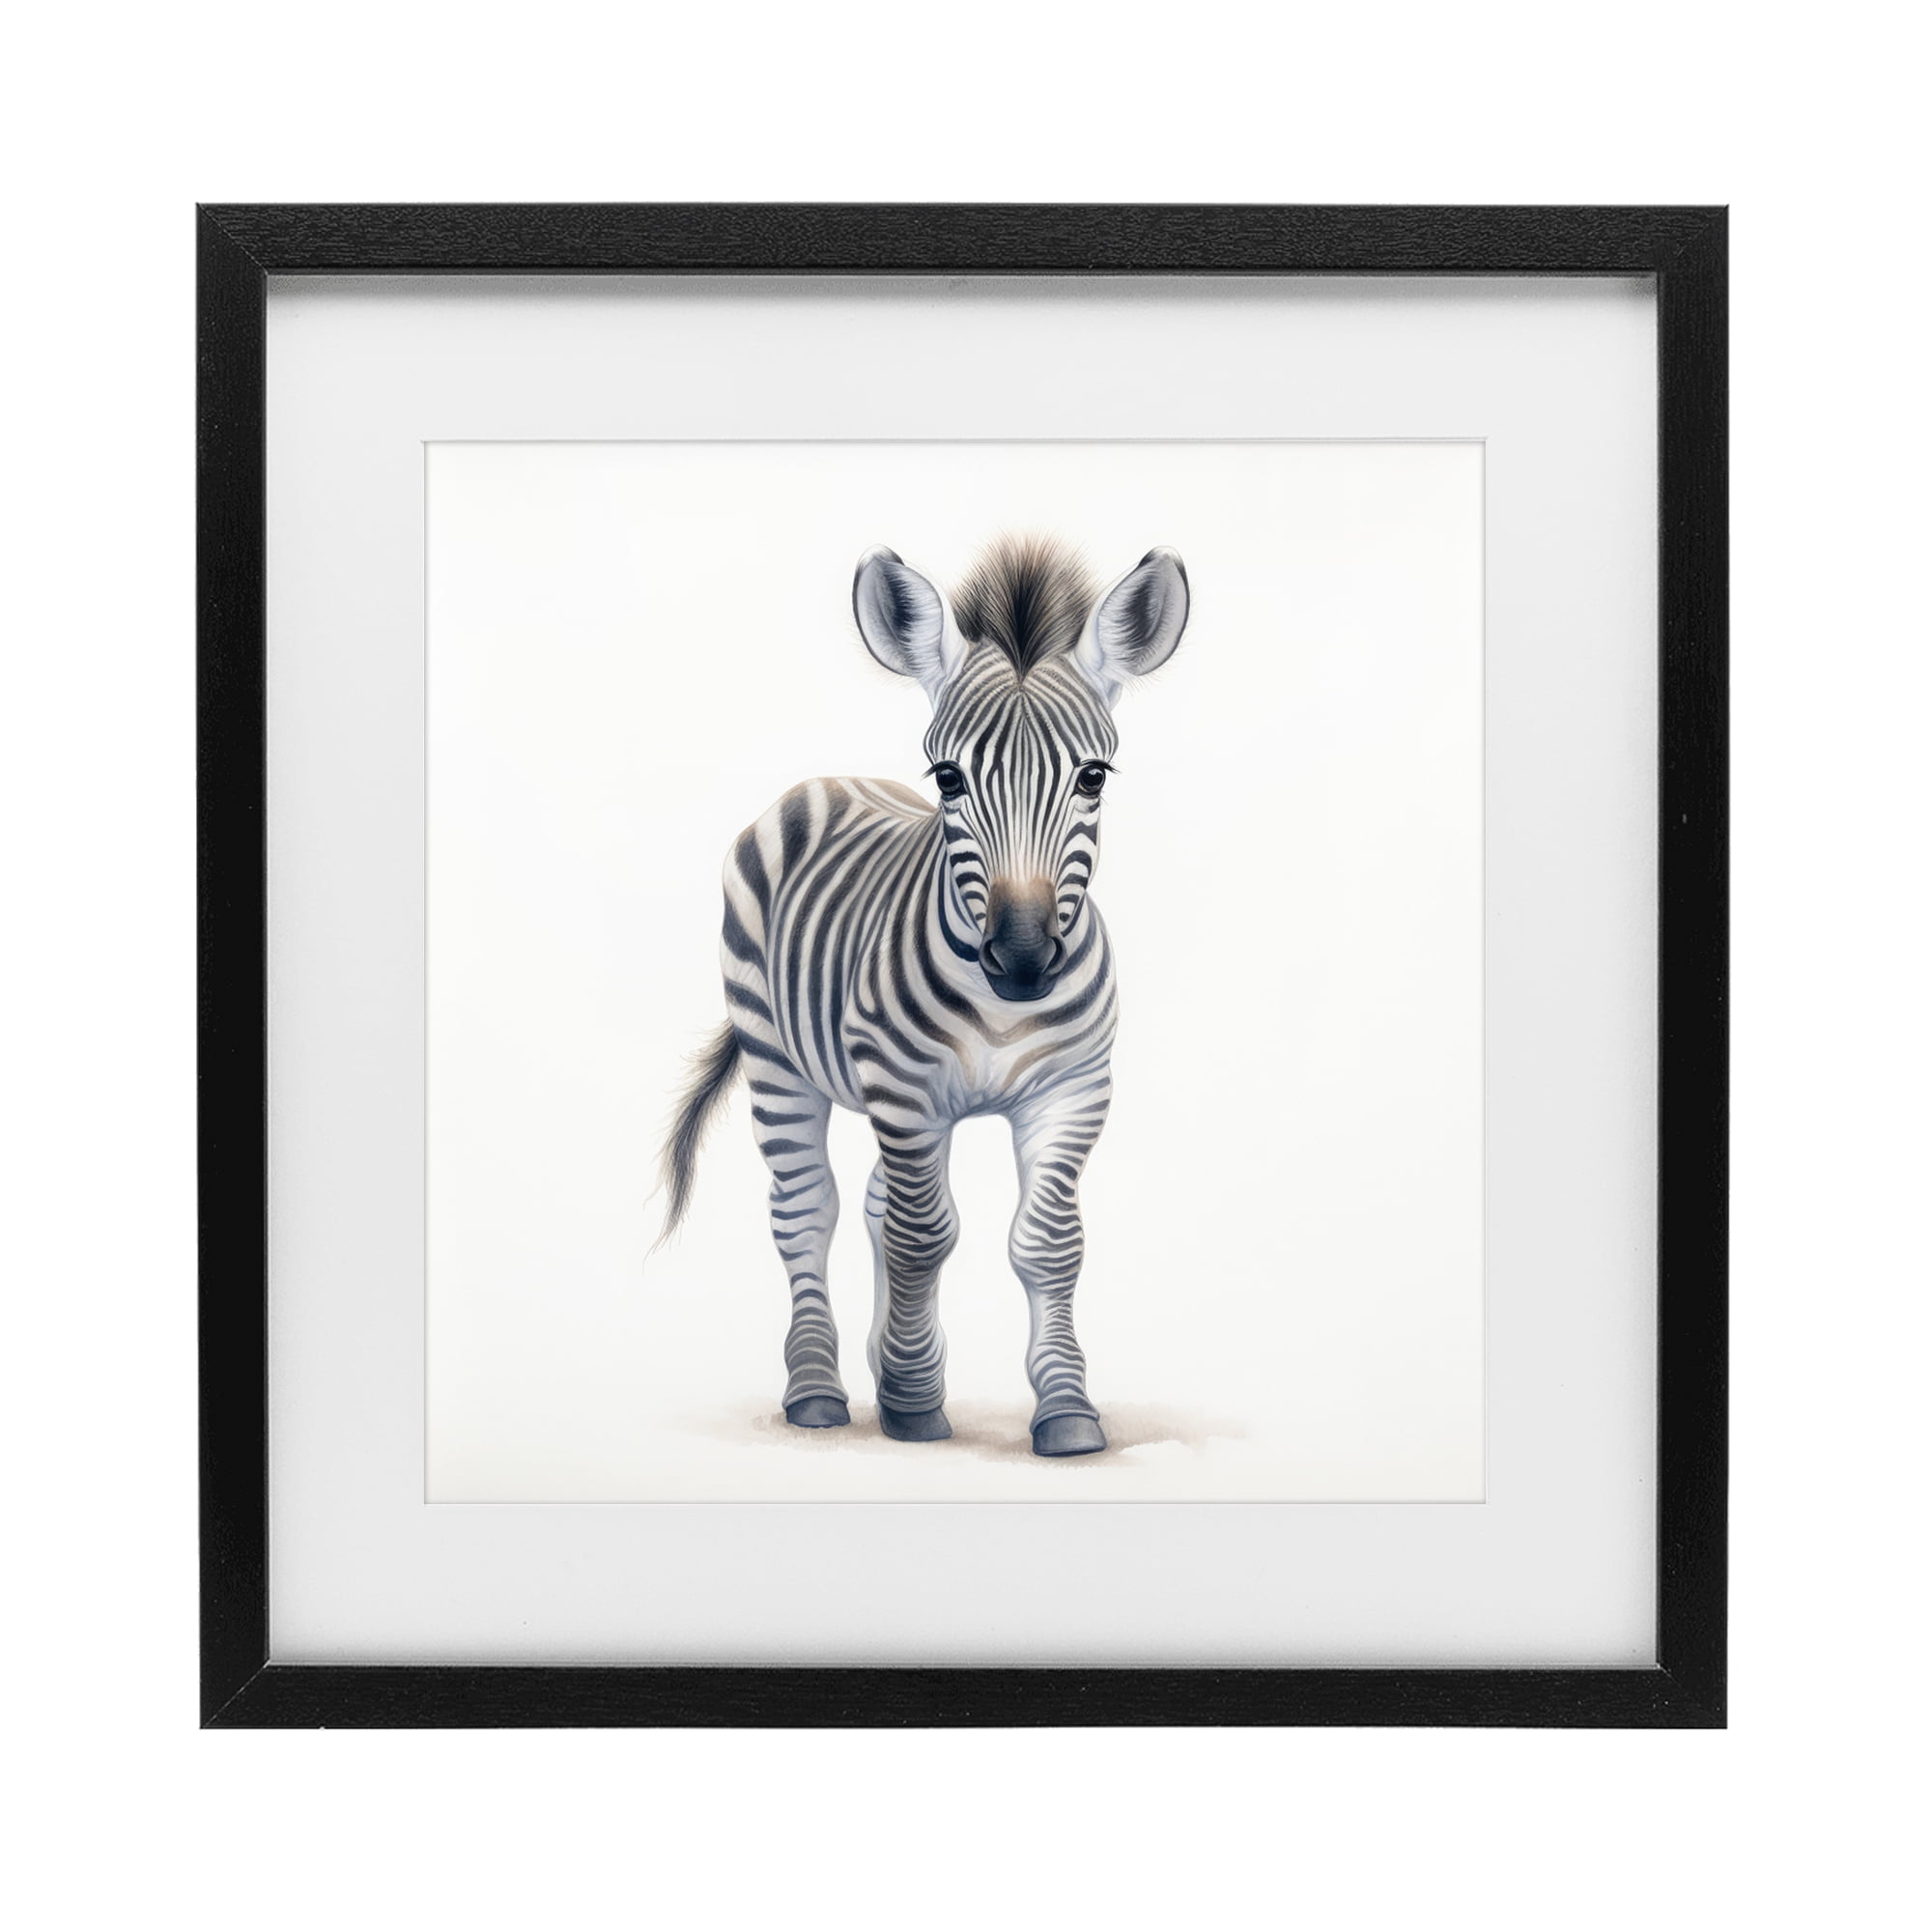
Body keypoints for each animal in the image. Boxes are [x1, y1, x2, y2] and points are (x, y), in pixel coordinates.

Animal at [658, 534, 1190, 1456]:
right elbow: (923, 1235)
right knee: (807, 1211)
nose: (1022, 961)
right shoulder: (905, 1089)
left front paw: (1065, 1409)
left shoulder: (1074, 1090)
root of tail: (826, 780)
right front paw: (913, 1405)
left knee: (875, 1203)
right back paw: (818, 1390)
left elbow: (1048, 1243)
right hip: (776, 1057)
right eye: (947, 778)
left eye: (1093, 777)